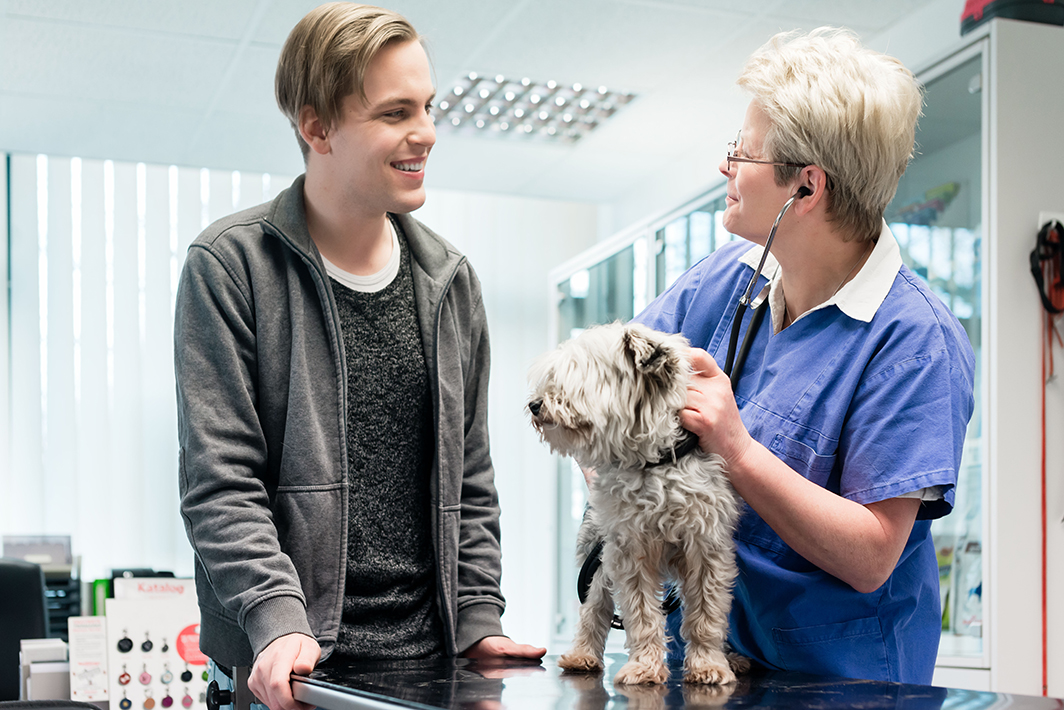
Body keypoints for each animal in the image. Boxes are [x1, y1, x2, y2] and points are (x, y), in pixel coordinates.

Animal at [527, 325, 744, 685]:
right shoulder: (628, 550)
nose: (534, 404)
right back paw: (582, 654)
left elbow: (706, 613)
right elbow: (641, 614)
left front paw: (708, 663)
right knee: (594, 607)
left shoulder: (707, 548)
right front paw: (645, 666)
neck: (653, 464)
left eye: (578, 373)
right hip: (598, 552)